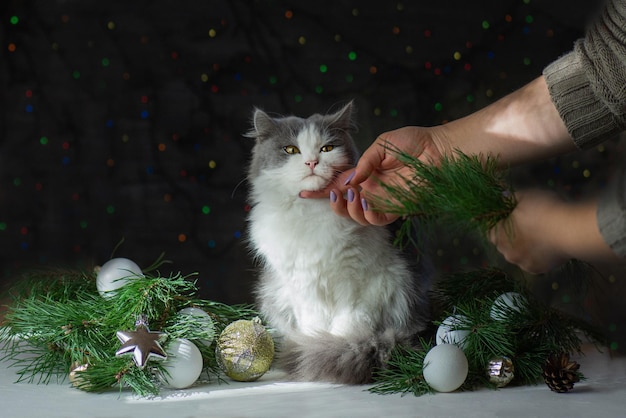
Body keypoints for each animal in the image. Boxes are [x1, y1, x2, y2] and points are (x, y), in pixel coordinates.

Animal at [245, 101, 428, 382]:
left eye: (327, 149)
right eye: (291, 150)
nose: (311, 162)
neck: (310, 213)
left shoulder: (358, 281)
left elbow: (348, 324)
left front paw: (335, 347)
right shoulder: (302, 285)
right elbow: (314, 323)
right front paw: (314, 345)